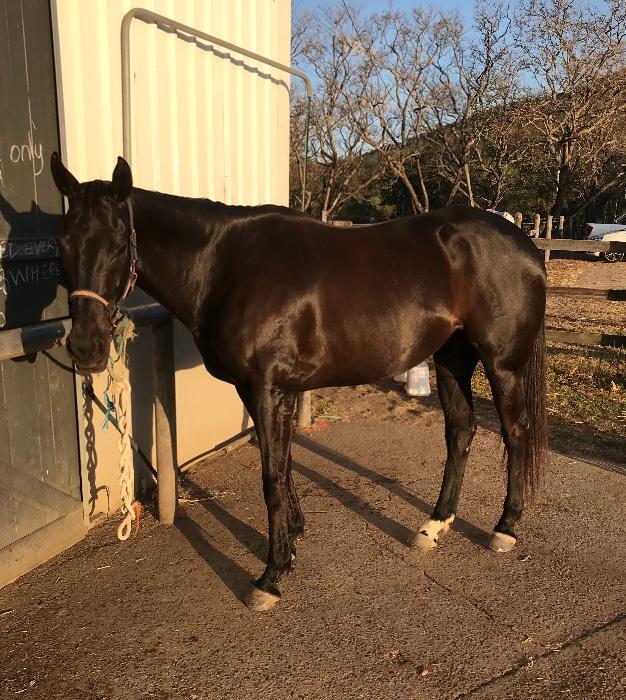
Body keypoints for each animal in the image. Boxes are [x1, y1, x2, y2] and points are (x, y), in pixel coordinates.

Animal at [50, 153, 547, 611]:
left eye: (120, 243)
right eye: (63, 241)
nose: (86, 347)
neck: (224, 266)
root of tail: (524, 244)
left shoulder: (266, 389)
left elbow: (271, 476)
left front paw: (270, 576)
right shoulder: (270, 391)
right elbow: (285, 466)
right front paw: (291, 542)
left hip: (501, 364)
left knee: (515, 433)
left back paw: (505, 528)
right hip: (451, 357)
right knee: (461, 431)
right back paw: (434, 525)